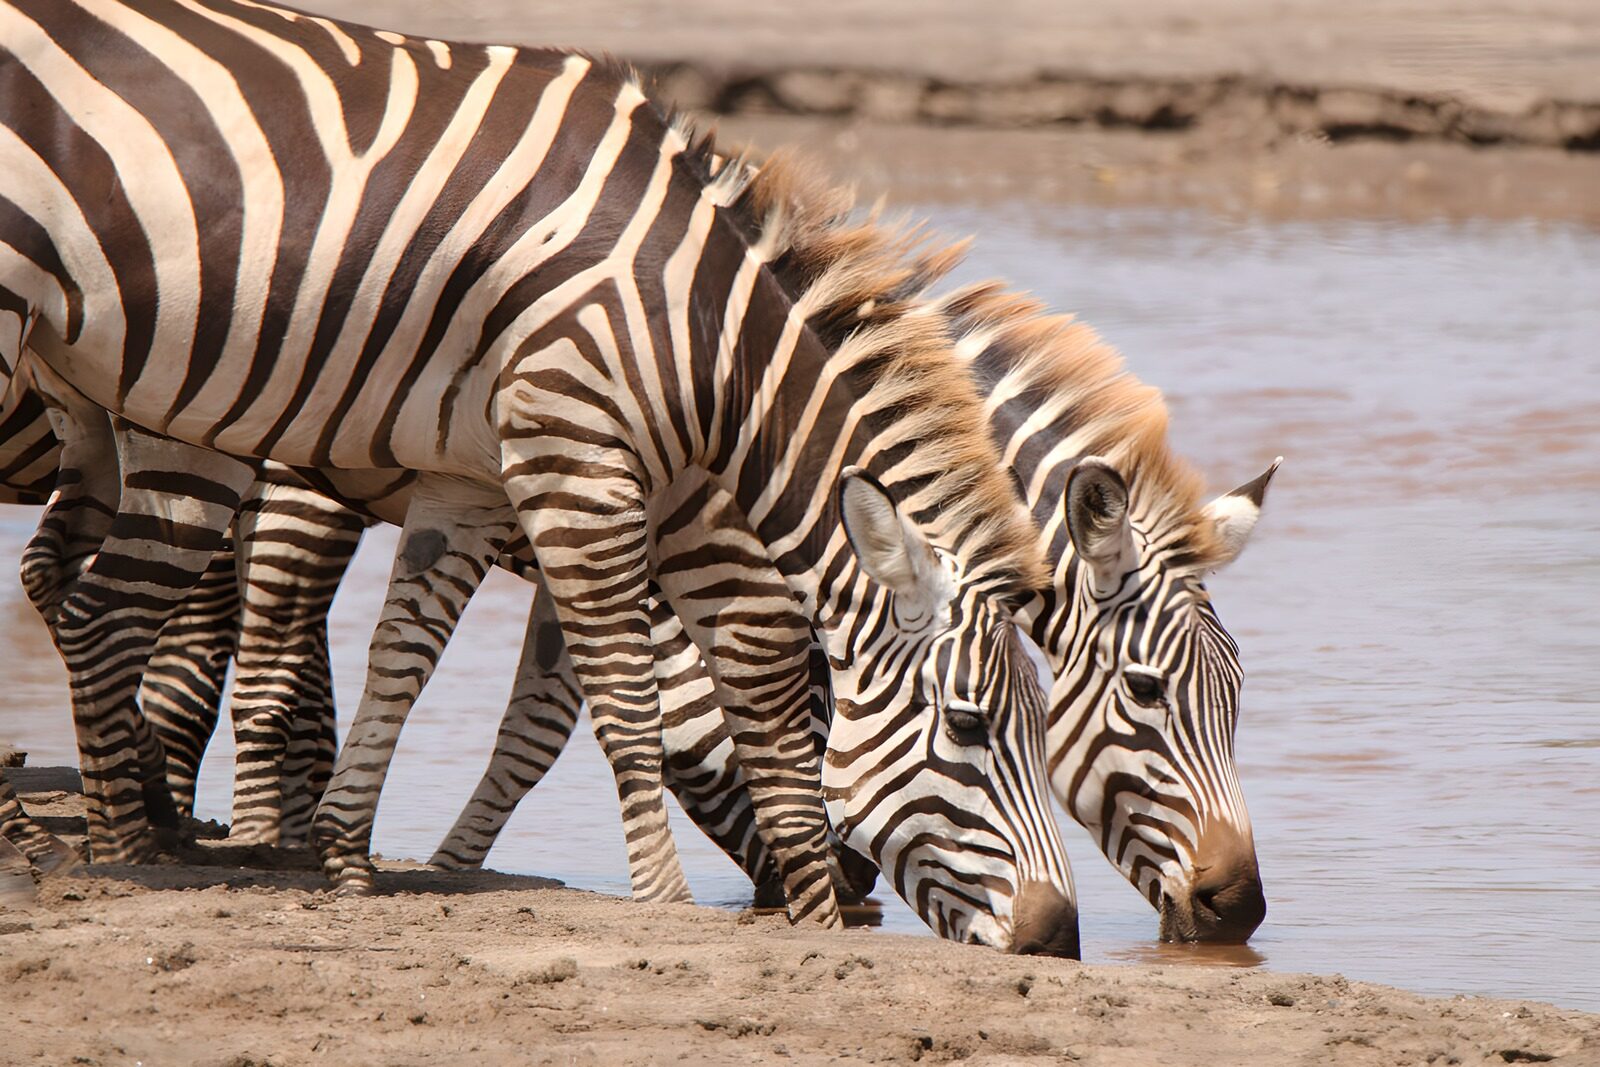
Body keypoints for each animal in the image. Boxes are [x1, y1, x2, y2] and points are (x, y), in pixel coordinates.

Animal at [0, 1, 1076, 953]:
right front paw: (667, 895)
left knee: (82, 599)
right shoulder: (578, 455)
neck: (711, 343)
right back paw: (90, 850)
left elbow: (409, 658)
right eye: (972, 726)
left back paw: (125, 834)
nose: (1057, 935)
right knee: (116, 618)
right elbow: (632, 697)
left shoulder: (479, 483)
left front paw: (347, 858)